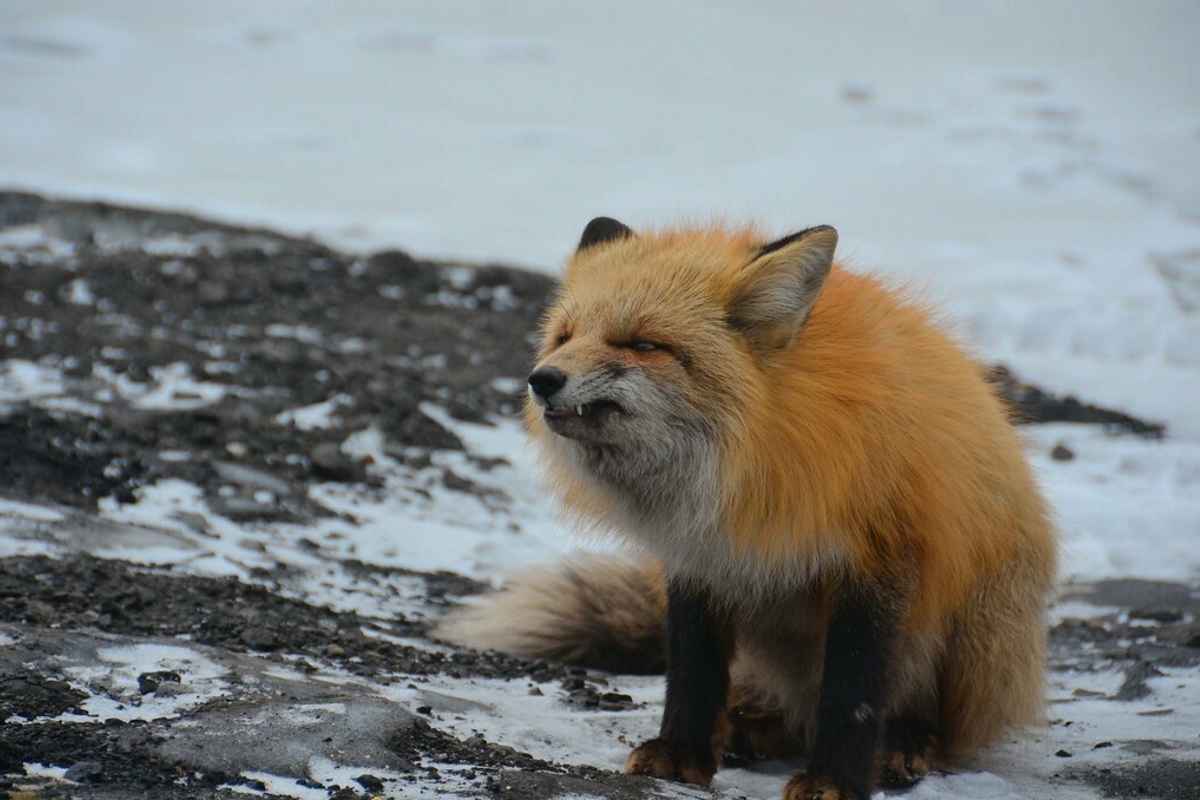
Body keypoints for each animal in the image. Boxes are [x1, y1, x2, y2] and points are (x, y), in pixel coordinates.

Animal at [436, 219, 1056, 800]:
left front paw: (836, 779)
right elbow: (693, 668)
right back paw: (754, 725)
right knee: (782, 707)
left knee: (928, 717)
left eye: (641, 344)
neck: (748, 461)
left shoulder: (880, 558)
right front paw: (682, 753)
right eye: (563, 337)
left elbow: (852, 691)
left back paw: (906, 742)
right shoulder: (700, 557)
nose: (542, 379)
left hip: (973, 630)